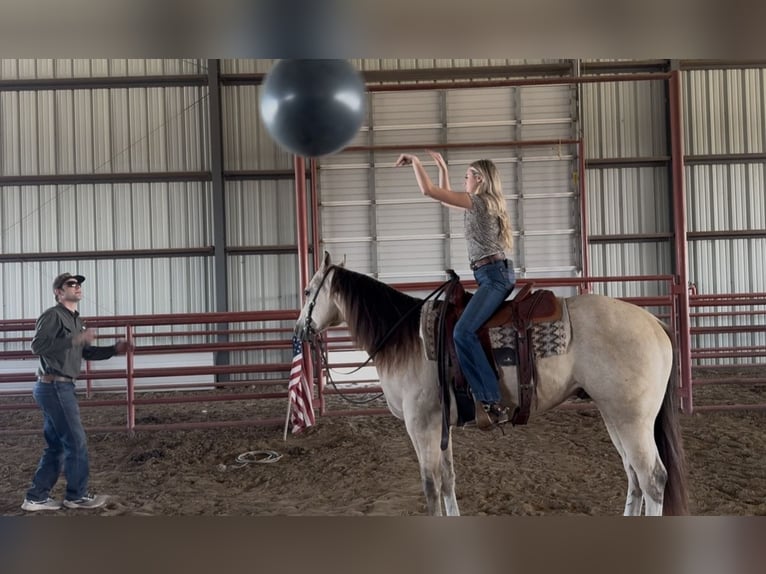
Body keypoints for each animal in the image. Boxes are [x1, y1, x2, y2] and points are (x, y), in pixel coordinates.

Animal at [294, 252, 689, 516]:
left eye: (307, 291)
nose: (299, 331)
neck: (406, 339)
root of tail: (654, 323)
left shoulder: (420, 425)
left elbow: (430, 486)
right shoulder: (439, 426)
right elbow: (449, 479)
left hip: (632, 419)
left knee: (652, 479)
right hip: (614, 415)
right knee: (634, 476)